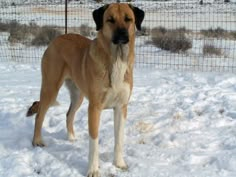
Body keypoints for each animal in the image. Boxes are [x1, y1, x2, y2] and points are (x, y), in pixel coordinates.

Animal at [25, 3, 144, 176]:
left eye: (128, 19)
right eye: (110, 20)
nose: (122, 34)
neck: (116, 60)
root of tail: (56, 39)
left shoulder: (121, 107)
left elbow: (119, 139)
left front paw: (119, 163)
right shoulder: (94, 108)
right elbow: (94, 142)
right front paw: (93, 170)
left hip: (78, 95)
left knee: (68, 114)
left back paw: (71, 138)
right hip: (50, 88)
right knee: (39, 115)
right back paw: (37, 141)